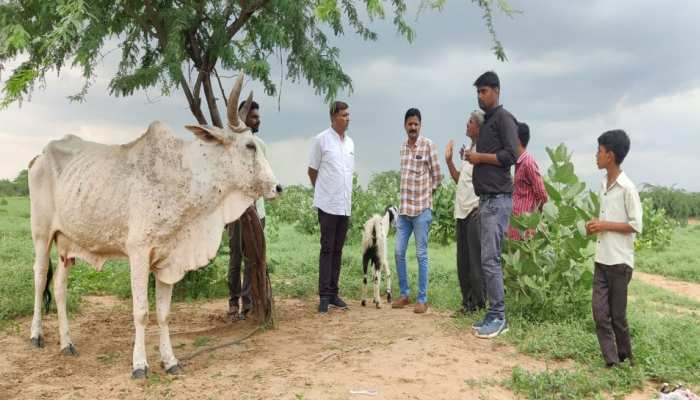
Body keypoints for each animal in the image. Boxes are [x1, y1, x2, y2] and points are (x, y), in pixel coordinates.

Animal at [28, 75, 278, 378]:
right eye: (250, 146)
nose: (278, 187)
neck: (185, 177)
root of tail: (39, 156)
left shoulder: (168, 260)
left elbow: (163, 314)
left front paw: (170, 361)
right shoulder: (138, 254)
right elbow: (142, 313)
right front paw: (139, 364)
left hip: (67, 244)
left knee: (60, 288)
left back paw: (67, 343)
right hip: (42, 235)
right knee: (40, 277)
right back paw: (36, 335)